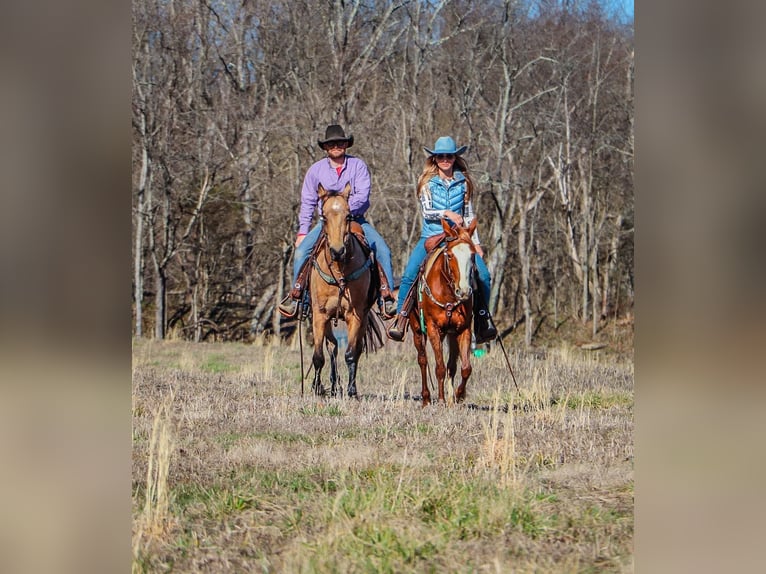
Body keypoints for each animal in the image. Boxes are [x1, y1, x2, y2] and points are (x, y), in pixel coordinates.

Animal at [308, 182, 384, 398]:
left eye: (349, 216)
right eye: (323, 217)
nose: (337, 251)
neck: (338, 270)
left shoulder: (355, 315)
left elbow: (351, 354)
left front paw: (351, 390)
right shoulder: (320, 314)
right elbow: (318, 356)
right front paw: (316, 388)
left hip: (363, 318)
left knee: (353, 349)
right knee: (332, 346)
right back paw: (332, 386)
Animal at [412, 218, 476, 408]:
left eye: (472, 255)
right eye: (450, 255)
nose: (464, 291)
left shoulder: (463, 329)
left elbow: (465, 368)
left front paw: (458, 395)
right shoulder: (433, 328)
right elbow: (439, 367)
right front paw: (440, 399)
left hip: (449, 334)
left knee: (451, 365)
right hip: (417, 330)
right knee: (423, 360)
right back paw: (426, 398)